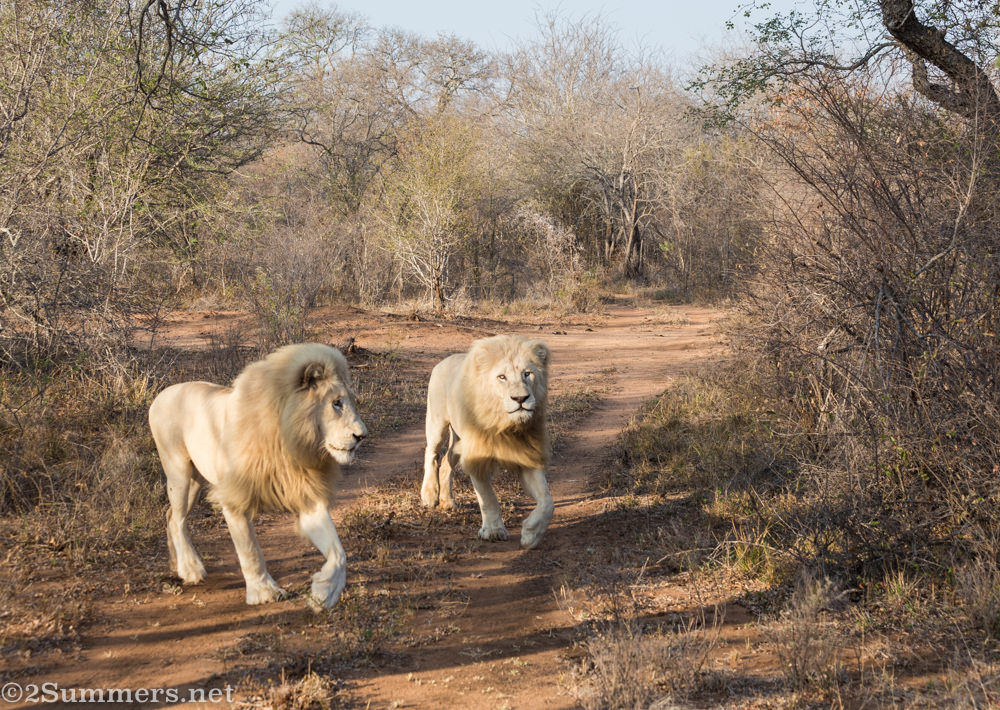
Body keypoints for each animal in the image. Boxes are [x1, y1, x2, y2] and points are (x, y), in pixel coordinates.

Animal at [148, 343, 367, 610]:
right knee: (177, 519)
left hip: (195, 481)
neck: (289, 439)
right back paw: (190, 569)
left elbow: (339, 553)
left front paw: (324, 593)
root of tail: (163, 393)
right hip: (178, 471)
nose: (362, 436)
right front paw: (264, 592)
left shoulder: (308, 499)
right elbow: (250, 550)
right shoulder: (235, 498)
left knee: (170, 515)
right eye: (336, 403)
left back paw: (176, 565)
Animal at [421, 334, 553, 549]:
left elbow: (547, 502)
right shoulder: (477, 455)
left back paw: (447, 501)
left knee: (446, 462)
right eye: (502, 377)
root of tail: (443, 361)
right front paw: (493, 531)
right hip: (436, 422)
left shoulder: (526, 455)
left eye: (527, 374)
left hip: (459, 441)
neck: (505, 424)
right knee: (431, 453)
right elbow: (488, 498)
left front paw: (530, 534)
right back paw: (430, 494)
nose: (520, 398)